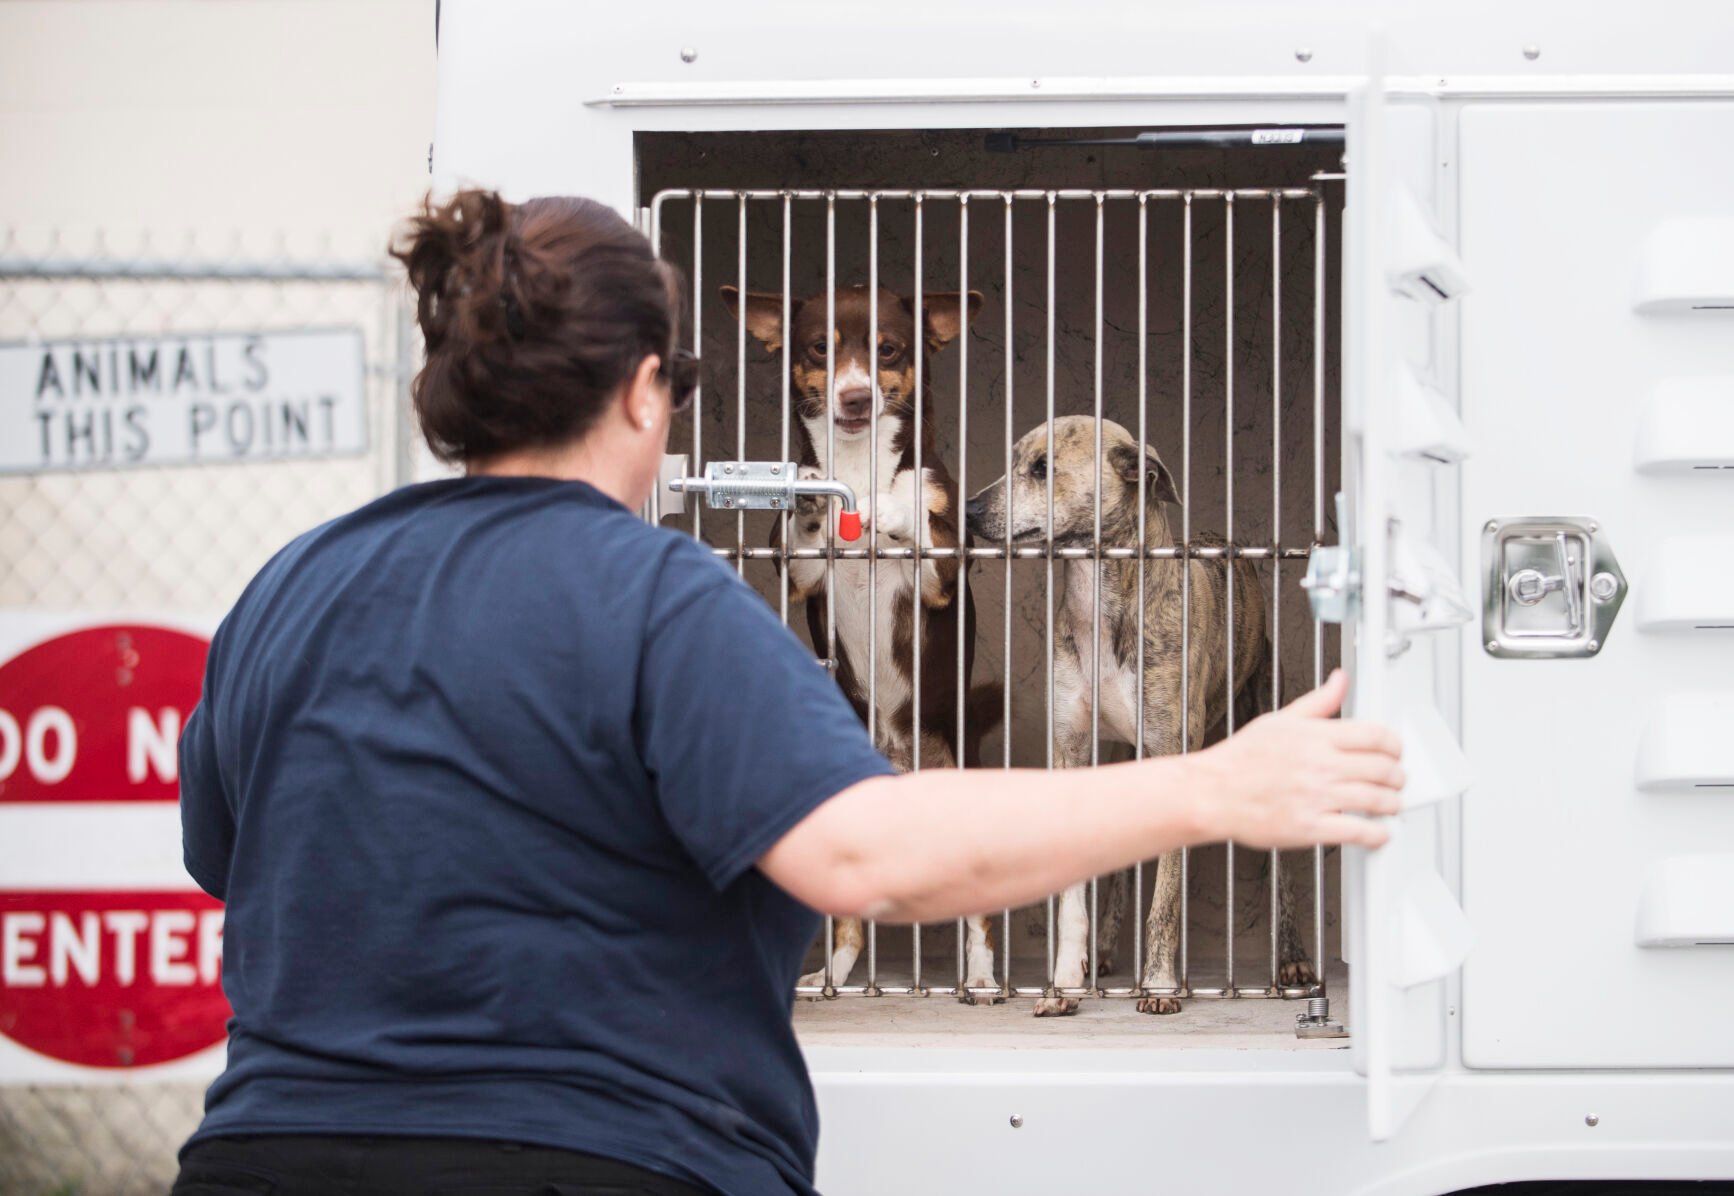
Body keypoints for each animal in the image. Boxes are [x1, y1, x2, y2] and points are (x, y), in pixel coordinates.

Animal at [721, 279, 1005, 998]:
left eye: (889, 349)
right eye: (821, 349)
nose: (854, 396)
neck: (858, 467)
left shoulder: (940, 572)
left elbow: (919, 517)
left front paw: (892, 506)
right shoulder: (800, 578)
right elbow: (801, 535)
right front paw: (812, 502)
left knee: (980, 919)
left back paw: (981, 979)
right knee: (847, 926)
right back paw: (832, 975)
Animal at [964, 414, 1310, 1012]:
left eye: (1043, 467)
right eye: (1013, 460)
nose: (968, 510)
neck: (1102, 602)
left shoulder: (1175, 754)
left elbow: (1165, 899)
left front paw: (1160, 984)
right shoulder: (1072, 748)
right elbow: (1073, 899)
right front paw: (1064, 983)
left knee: (1283, 867)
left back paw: (1290, 958)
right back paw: (1102, 951)